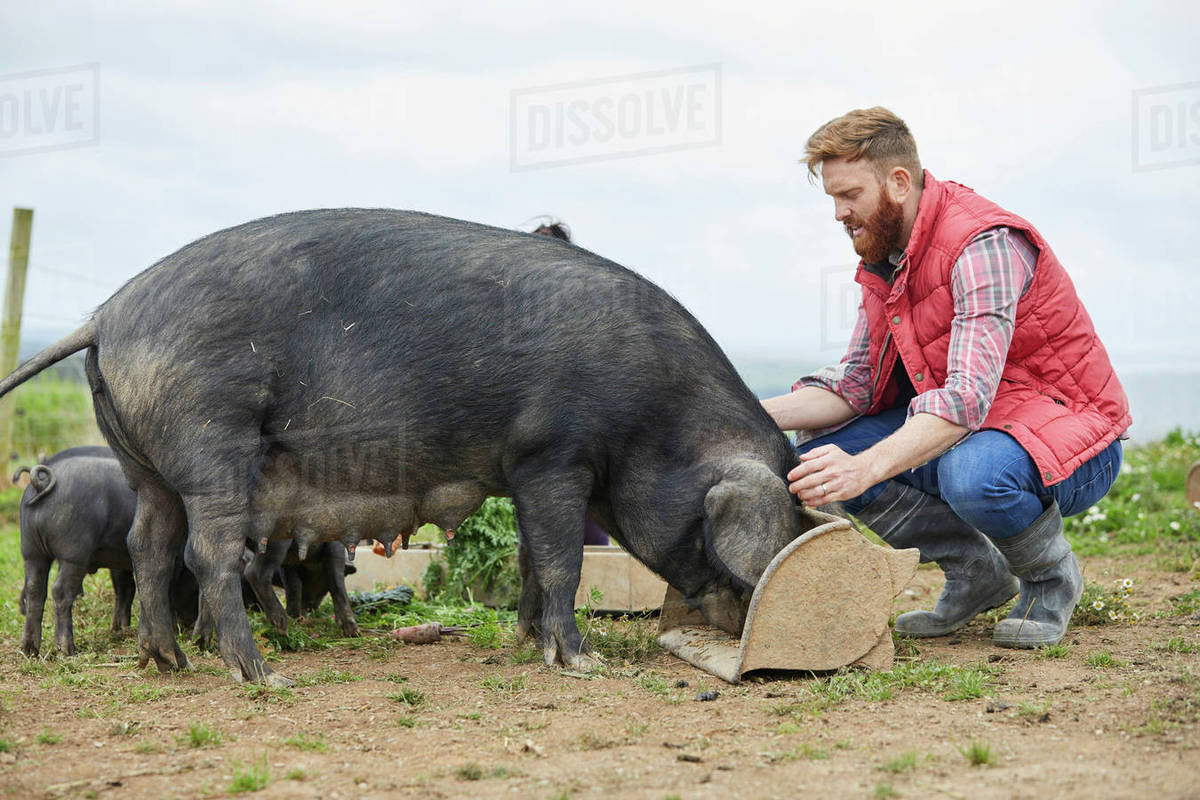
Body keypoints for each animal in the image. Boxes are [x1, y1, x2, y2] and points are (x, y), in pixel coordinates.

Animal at [0, 209, 821, 685]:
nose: (738, 624)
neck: (655, 416)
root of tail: (104, 316)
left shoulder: (524, 470)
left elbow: (532, 556)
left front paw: (524, 642)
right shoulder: (554, 454)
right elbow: (563, 559)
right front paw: (580, 663)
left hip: (145, 464)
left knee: (149, 545)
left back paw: (165, 663)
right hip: (210, 437)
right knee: (206, 553)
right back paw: (263, 675)